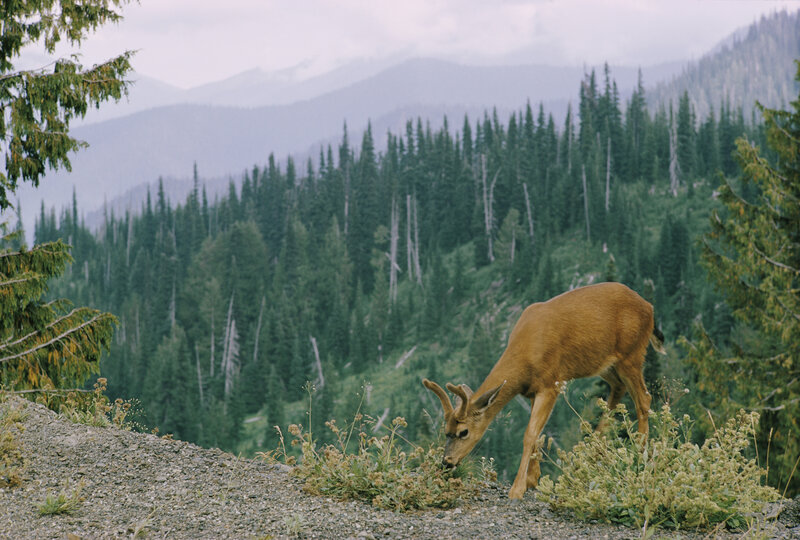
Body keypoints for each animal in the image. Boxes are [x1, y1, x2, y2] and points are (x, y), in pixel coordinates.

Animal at [422, 281, 666, 499]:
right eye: (446, 430)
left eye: (463, 432)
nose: (447, 462)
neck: (526, 356)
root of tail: (650, 308)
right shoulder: (533, 390)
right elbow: (537, 433)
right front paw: (533, 480)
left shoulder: (550, 383)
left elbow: (530, 434)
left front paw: (518, 489)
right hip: (604, 364)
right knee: (618, 390)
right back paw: (590, 454)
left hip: (631, 354)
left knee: (644, 398)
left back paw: (640, 456)